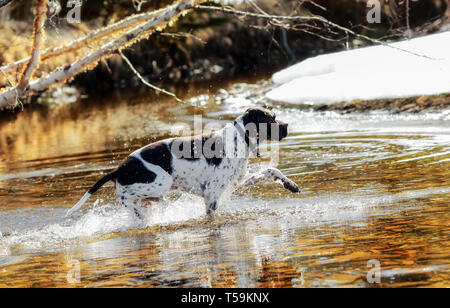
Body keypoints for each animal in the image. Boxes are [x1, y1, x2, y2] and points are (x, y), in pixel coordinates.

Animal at [66, 107, 298, 218]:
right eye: (270, 119)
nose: (288, 126)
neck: (239, 138)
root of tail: (118, 169)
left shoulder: (236, 182)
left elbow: (271, 170)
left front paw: (290, 184)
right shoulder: (211, 194)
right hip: (160, 183)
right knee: (130, 197)